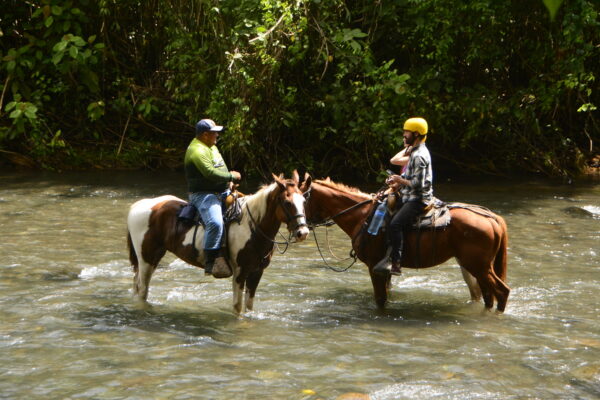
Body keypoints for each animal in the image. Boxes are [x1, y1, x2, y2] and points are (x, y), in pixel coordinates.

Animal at [127, 171, 314, 312]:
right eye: (287, 202)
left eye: (304, 201)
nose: (302, 232)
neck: (252, 226)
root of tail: (138, 205)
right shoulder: (240, 272)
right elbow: (238, 306)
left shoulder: (257, 272)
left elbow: (249, 306)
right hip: (145, 257)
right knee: (142, 289)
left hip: (154, 256)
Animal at [302, 177, 508, 312]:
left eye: (301, 199)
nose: (300, 230)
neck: (362, 216)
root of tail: (493, 218)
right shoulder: (383, 270)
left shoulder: (374, 266)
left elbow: (380, 299)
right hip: (477, 267)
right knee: (488, 296)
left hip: (479, 266)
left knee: (502, 292)